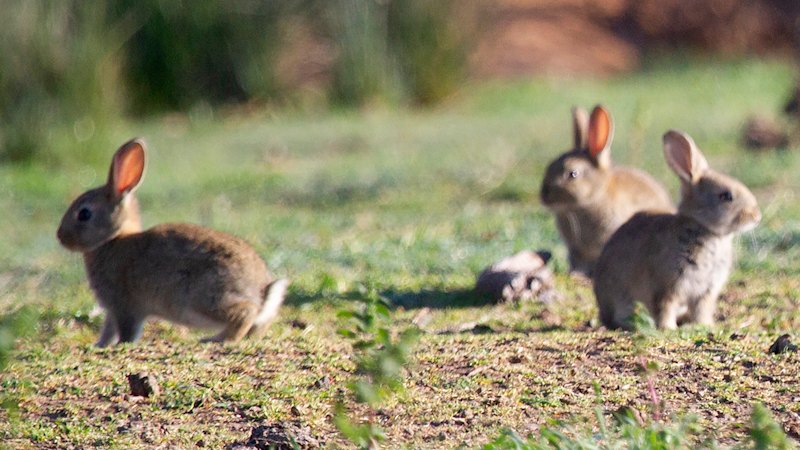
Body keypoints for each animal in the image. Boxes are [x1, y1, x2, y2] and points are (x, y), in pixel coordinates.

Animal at [57, 138, 289, 347]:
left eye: (84, 214)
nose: (60, 236)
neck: (112, 240)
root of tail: (262, 292)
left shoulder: (124, 305)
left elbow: (126, 332)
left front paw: (118, 346)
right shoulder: (113, 310)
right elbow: (108, 331)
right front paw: (99, 345)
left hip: (203, 298)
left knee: (244, 313)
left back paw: (218, 339)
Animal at [593, 130, 761, 330]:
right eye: (726, 196)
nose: (757, 216)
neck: (704, 229)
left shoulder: (706, 291)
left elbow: (701, 310)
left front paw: (705, 325)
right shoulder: (667, 285)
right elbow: (665, 306)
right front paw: (668, 328)